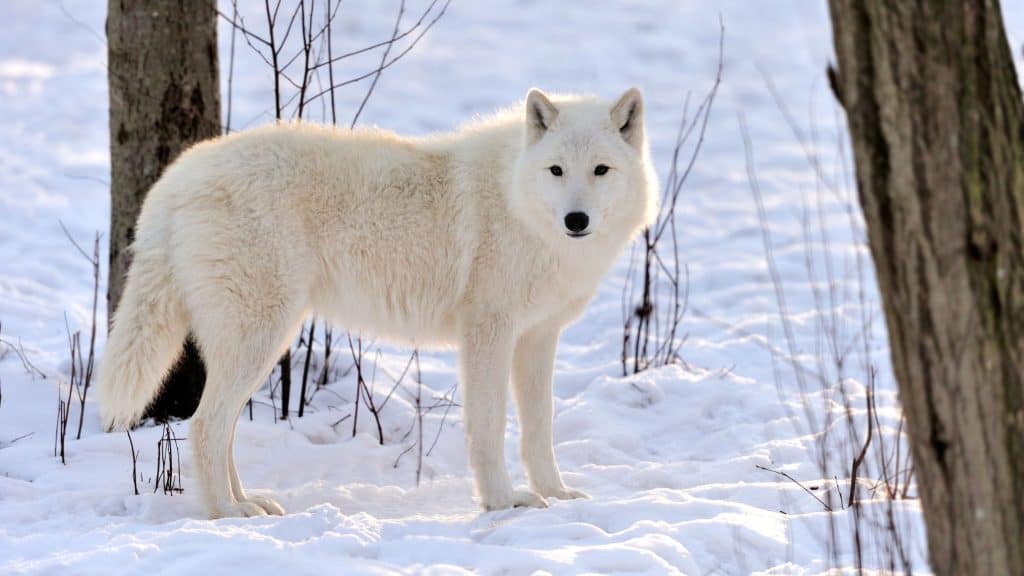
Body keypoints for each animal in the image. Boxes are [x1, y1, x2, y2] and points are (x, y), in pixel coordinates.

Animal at [96, 87, 659, 518]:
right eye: (557, 170)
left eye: (601, 170)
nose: (576, 220)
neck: (515, 200)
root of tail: (175, 179)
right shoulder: (488, 333)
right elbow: (490, 425)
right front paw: (502, 503)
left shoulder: (538, 338)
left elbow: (540, 428)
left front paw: (555, 494)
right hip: (262, 338)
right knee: (205, 424)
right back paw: (226, 514)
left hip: (258, 343)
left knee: (221, 428)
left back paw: (247, 502)